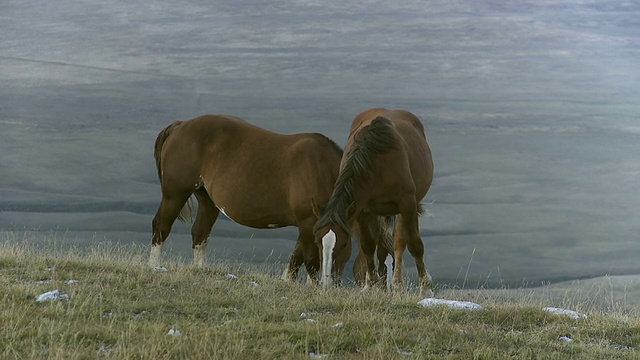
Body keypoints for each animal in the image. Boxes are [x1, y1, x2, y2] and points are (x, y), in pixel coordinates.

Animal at [149, 115, 344, 282]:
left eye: (344, 246)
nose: (330, 284)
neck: (319, 167)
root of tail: (180, 125)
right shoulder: (307, 221)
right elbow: (309, 259)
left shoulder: (310, 224)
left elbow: (298, 256)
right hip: (175, 194)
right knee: (161, 226)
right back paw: (155, 267)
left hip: (207, 200)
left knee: (200, 232)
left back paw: (200, 269)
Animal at [312, 108, 436, 294]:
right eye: (317, 243)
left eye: (344, 244)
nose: (326, 284)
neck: (377, 166)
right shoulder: (361, 211)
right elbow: (368, 245)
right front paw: (370, 284)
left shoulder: (408, 205)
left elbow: (414, 244)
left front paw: (426, 288)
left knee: (399, 241)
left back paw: (397, 284)